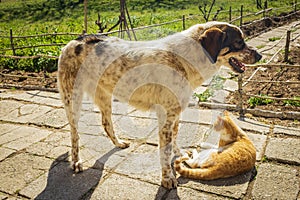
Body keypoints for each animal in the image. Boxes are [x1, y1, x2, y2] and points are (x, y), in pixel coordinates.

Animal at [57, 21, 262, 189]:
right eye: (238, 42)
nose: (260, 55)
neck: (185, 59)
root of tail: (75, 40)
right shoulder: (165, 116)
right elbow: (165, 150)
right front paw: (167, 178)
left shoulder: (175, 112)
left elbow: (175, 139)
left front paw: (179, 155)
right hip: (73, 100)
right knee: (74, 134)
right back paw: (76, 161)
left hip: (105, 97)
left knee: (106, 124)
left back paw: (119, 143)